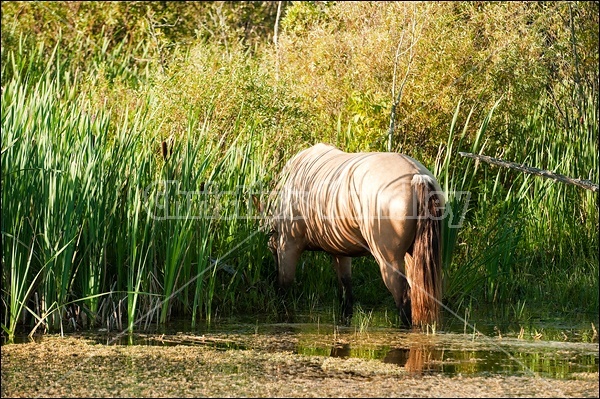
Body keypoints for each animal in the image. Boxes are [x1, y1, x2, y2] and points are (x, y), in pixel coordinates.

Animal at [268, 144, 446, 328]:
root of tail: (417, 176)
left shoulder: (288, 245)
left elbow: (284, 285)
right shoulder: (339, 251)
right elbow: (345, 291)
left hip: (389, 260)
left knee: (404, 297)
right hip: (413, 258)